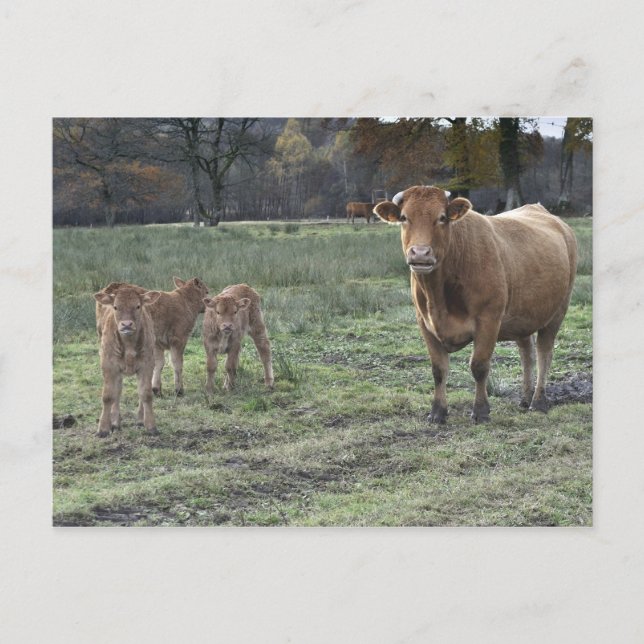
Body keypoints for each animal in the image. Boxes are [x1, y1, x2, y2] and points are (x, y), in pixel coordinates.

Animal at [93, 285, 161, 437]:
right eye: (115, 307)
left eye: (137, 306)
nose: (126, 324)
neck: (129, 345)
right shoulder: (108, 364)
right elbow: (108, 395)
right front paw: (103, 429)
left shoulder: (147, 363)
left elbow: (146, 394)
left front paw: (151, 426)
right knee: (117, 391)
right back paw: (115, 422)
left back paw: (140, 420)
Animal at [373, 185, 577, 424]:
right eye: (404, 218)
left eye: (442, 218)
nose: (420, 253)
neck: (439, 297)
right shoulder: (424, 322)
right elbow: (438, 369)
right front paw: (437, 412)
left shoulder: (488, 319)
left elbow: (479, 366)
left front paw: (480, 411)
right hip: (523, 316)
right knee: (527, 353)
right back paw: (525, 398)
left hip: (557, 311)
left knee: (544, 353)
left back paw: (538, 401)